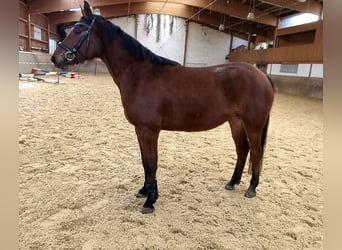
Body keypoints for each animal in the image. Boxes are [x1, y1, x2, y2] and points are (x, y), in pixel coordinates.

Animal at [51, 0, 276, 214]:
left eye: (77, 31)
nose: (55, 58)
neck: (140, 75)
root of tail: (262, 75)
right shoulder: (139, 129)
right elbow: (145, 161)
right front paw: (144, 191)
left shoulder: (149, 130)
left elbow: (152, 163)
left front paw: (150, 201)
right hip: (235, 121)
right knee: (242, 149)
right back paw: (232, 182)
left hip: (253, 124)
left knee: (256, 151)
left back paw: (252, 188)